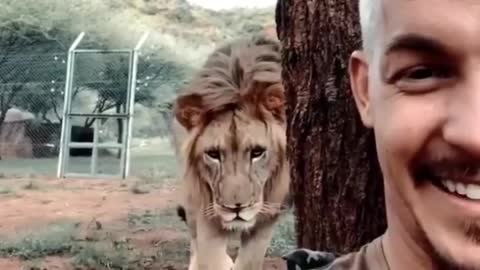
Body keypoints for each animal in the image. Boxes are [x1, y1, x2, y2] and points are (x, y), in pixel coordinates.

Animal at [172, 33, 292, 270]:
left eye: (257, 152)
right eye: (213, 154)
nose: (236, 208)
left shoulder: (268, 214)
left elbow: (250, 261)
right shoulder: (207, 208)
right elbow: (209, 257)